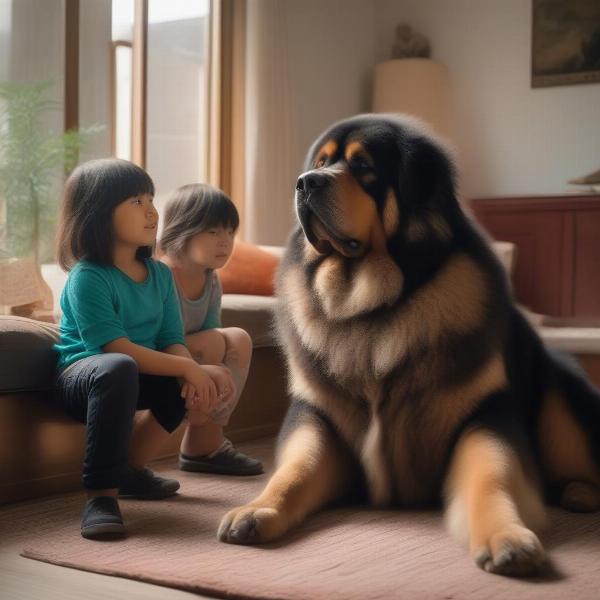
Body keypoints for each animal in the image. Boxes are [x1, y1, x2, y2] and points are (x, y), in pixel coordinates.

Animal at [219, 113, 600, 576]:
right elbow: (294, 469)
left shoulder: (486, 412)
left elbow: (491, 474)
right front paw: (256, 509)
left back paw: (580, 492)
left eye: (362, 166)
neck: (371, 307)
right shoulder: (317, 415)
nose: (305, 183)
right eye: (321, 163)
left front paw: (505, 535)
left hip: (564, 398)